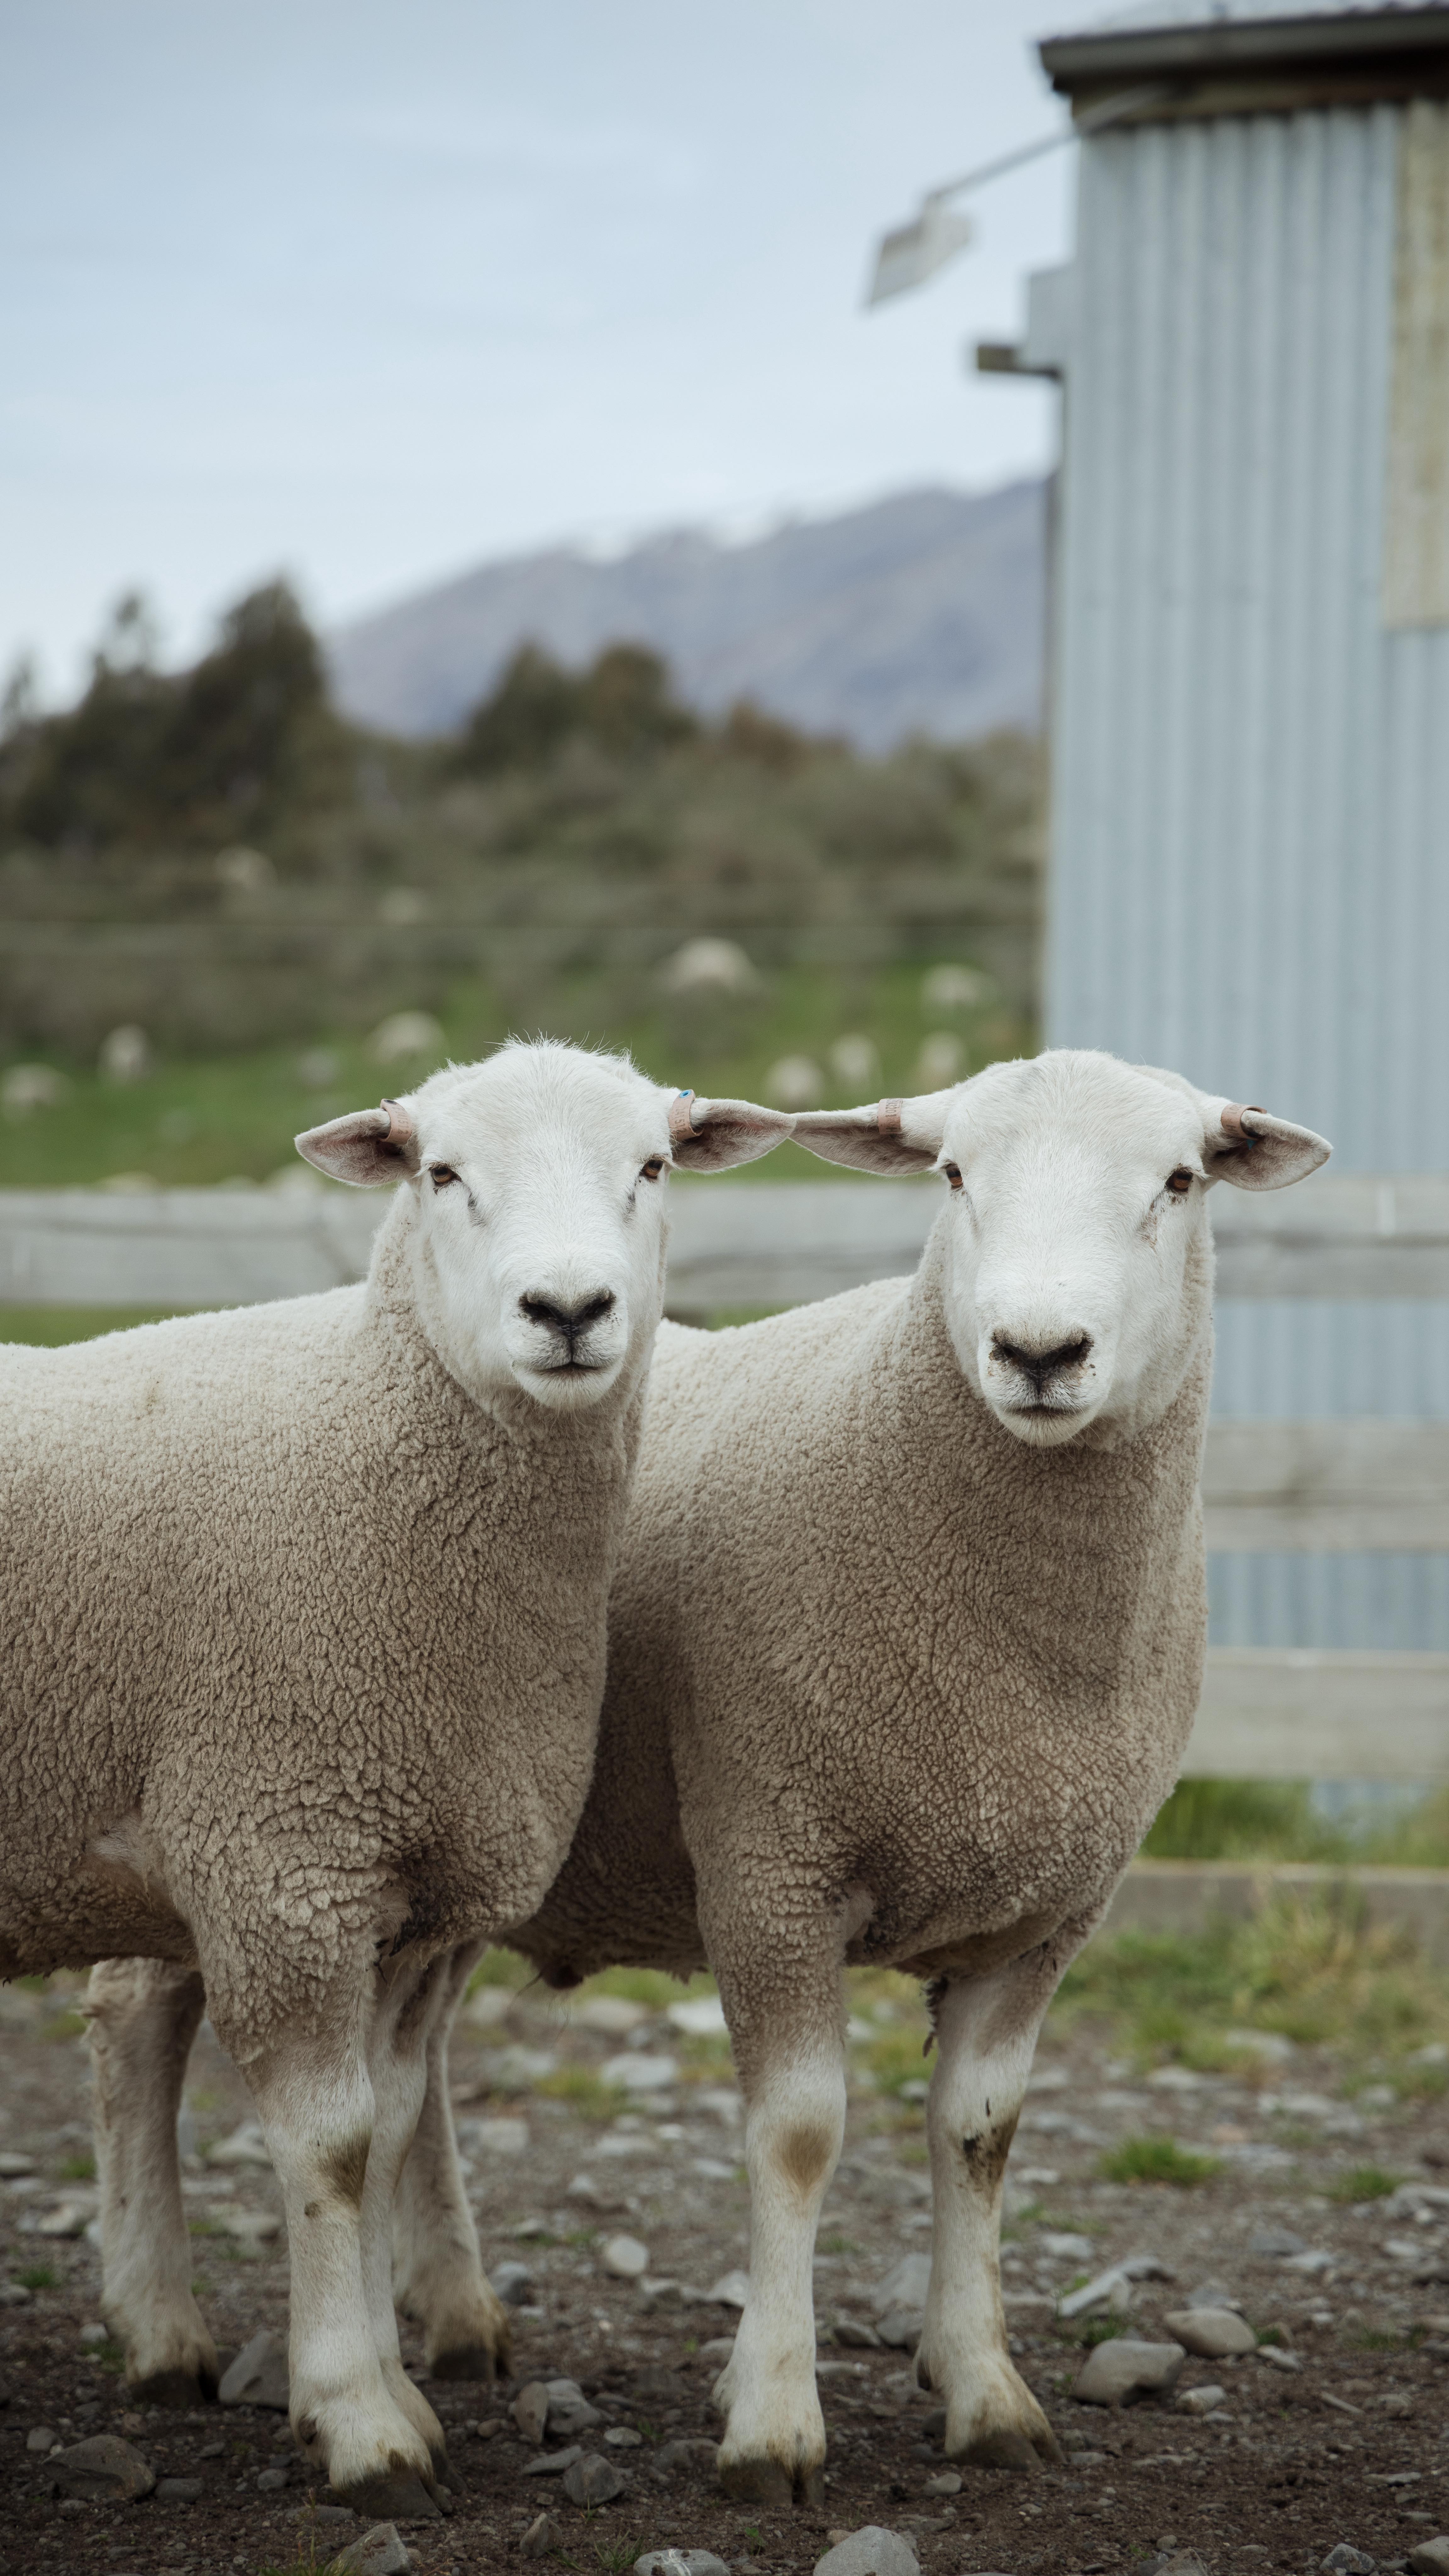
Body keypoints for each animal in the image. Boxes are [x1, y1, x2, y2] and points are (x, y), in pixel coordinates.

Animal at [2, 1040, 790, 2517]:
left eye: (653, 1165)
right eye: (441, 1173)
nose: (567, 1309)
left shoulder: (392, 1878)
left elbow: (384, 2122)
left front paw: (380, 2375)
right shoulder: (285, 1859)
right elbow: (332, 2142)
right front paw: (363, 2422)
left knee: (133, 2016)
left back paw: (160, 2332)